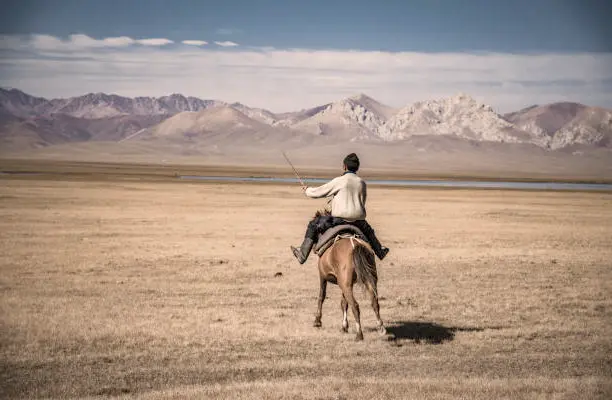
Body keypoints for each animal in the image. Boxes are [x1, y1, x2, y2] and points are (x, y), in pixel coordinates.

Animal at [310, 211, 388, 340]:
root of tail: (355, 245)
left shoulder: (323, 276)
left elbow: (322, 296)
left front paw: (317, 321)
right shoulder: (344, 283)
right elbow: (344, 303)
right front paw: (344, 326)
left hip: (346, 285)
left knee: (355, 305)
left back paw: (359, 334)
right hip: (368, 280)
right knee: (374, 302)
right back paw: (381, 328)